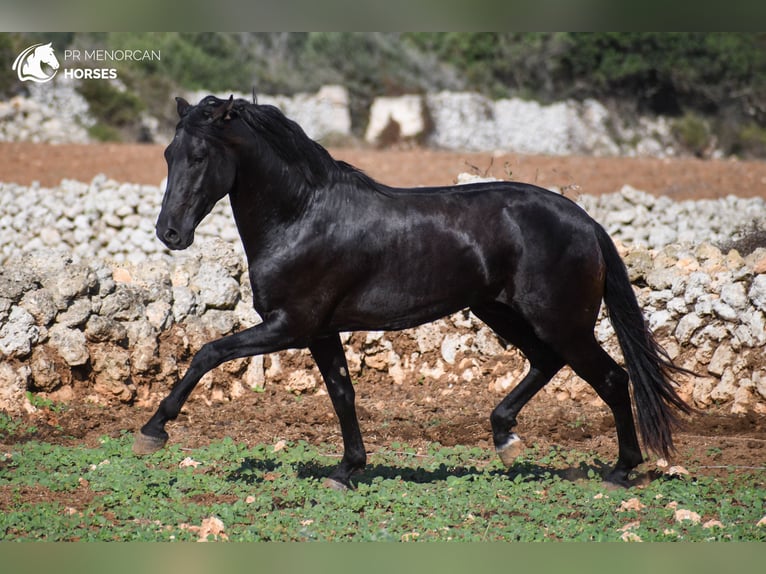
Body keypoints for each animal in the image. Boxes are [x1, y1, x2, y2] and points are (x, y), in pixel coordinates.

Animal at [134, 94, 696, 490]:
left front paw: (153, 430)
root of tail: (586, 223)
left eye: (199, 155)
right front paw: (347, 469)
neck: (302, 216)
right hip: (502, 311)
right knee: (546, 362)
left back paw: (620, 471)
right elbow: (342, 392)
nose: (170, 233)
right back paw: (505, 437)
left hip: (561, 320)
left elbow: (208, 353)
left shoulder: (289, 325)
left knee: (612, 377)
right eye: (167, 154)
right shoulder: (319, 330)